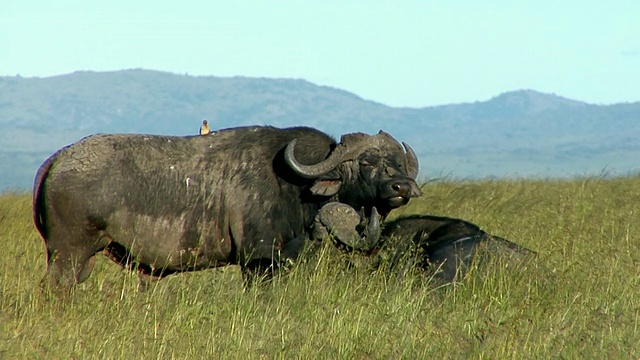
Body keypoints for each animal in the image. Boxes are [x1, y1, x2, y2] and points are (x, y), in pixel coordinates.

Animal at [33, 124, 424, 292]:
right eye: (367, 161)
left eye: (396, 162)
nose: (401, 188)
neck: (297, 187)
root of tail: (58, 160)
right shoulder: (259, 262)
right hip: (68, 256)